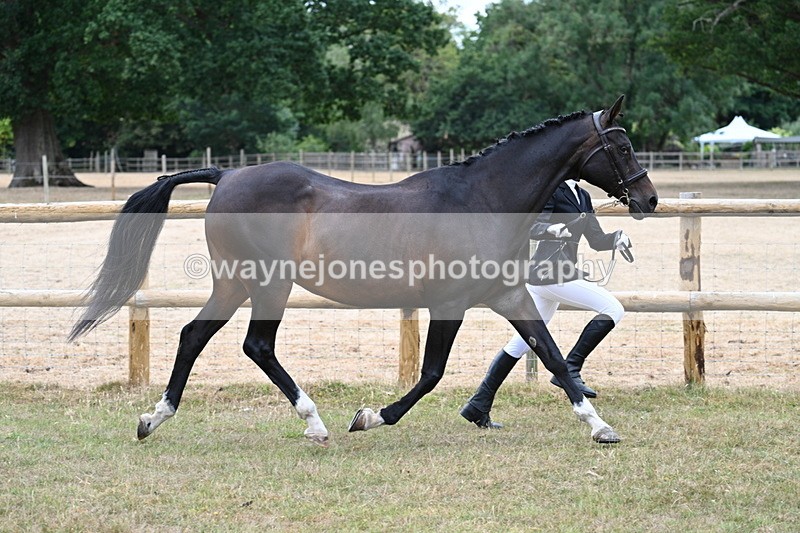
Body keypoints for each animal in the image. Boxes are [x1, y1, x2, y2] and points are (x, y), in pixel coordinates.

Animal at [70, 95, 658, 446]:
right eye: (623, 145)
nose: (649, 199)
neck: (482, 199)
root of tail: (227, 174)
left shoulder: (510, 296)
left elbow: (552, 355)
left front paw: (600, 427)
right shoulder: (449, 304)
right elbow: (431, 372)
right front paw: (371, 416)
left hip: (235, 283)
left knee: (195, 335)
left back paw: (154, 418)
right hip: (268, 283)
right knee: (256, 345)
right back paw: (316, 423)